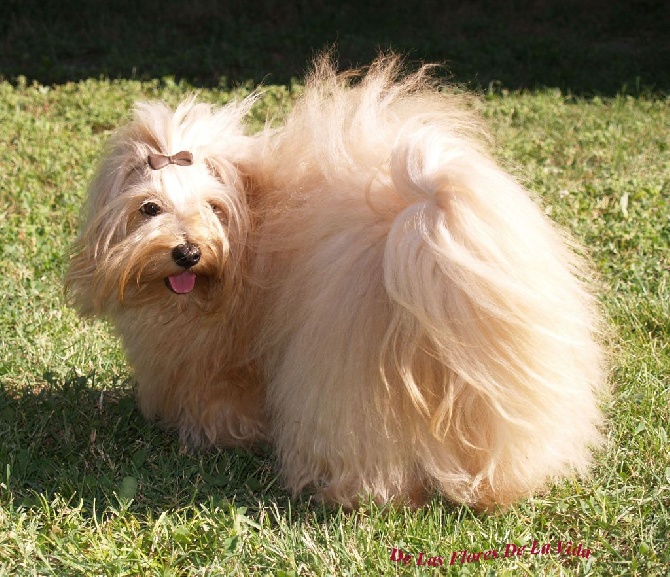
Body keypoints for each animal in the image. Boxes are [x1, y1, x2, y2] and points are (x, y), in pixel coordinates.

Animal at [67, 55, 608, 508]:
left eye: (213, 208)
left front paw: (215, 435)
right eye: (148, 208)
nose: (188, 252)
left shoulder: (224, 358)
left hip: (349, 379)